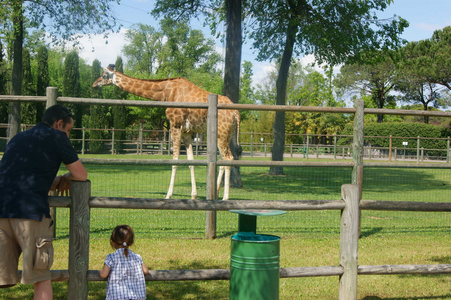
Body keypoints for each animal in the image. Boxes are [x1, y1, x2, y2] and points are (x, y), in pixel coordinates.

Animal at [92, 66, 240, 202]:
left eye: (103, 75)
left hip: (222, 133)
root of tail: (236, 114)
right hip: (224, 135)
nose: (94, 84)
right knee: (223, 159)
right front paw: (193, 195)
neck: (166, 92)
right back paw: (216, 192)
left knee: (229, 158)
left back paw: (225, 198)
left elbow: (175, 161)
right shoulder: (187, 132)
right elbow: (190, 161)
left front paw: (168, 195)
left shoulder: (175, 125)